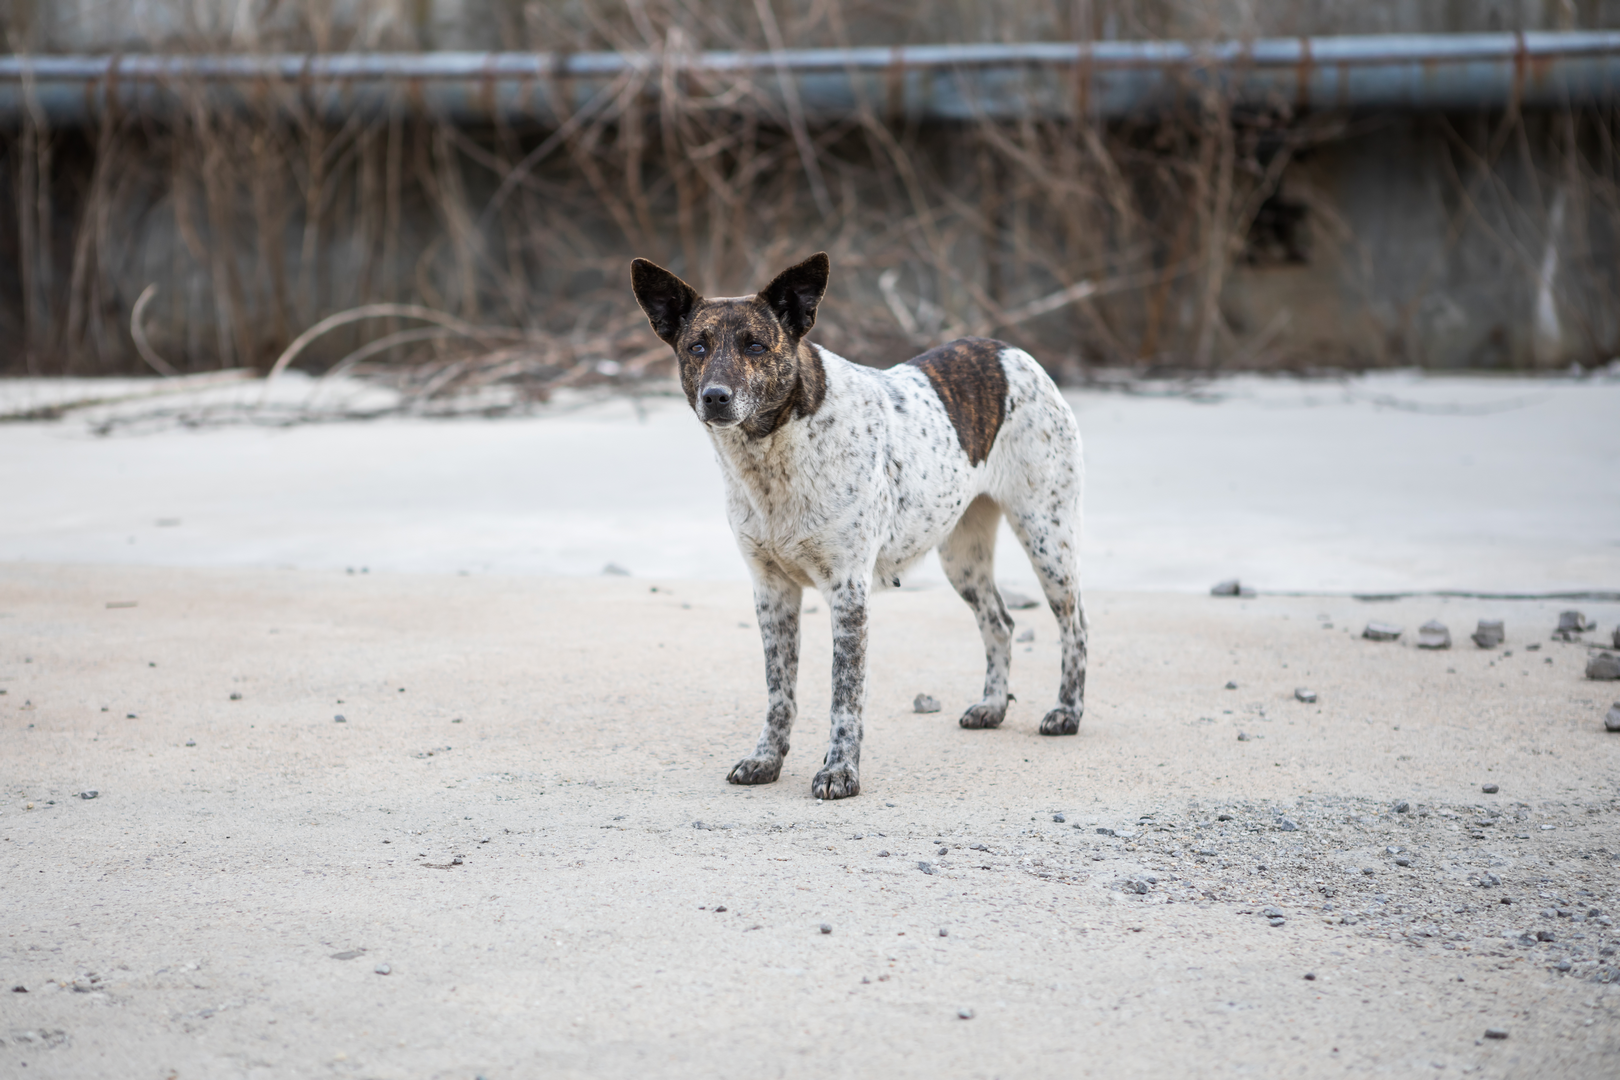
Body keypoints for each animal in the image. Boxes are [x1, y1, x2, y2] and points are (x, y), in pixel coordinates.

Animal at [631, 249, 1088, 799]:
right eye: (696, 347)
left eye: (756, 345)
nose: (715, 397)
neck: (772, 453)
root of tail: (1011, 350)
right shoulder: (771, 592)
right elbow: (779, 693)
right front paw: (766, 760)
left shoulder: (848, 591)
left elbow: (844, 697)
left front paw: (839, 771)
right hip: (962, 556)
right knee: (999, 622)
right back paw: (993, 706)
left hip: (1047, 537)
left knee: (1075, 625)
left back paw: (1067, 712)